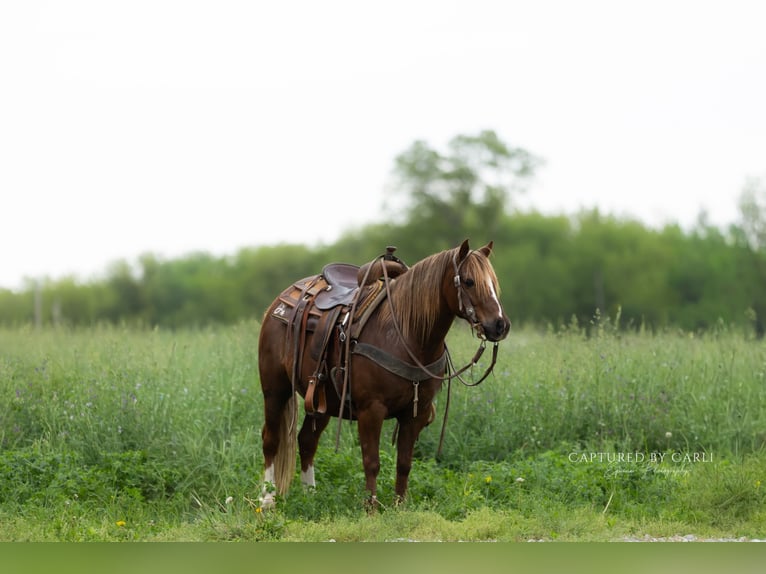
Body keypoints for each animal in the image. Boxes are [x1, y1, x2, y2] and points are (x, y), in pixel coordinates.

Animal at [257, 239, 510, 509]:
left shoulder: (416, 413)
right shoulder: (372, 410)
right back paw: (267, 498)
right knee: (271, 439)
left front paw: (400, 506)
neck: (407, 337)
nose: (500, 325)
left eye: (493, 282)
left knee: (307, 440)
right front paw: (371, 507)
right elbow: (372, 462)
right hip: (275, 390)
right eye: (469, 281)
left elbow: (404, 463)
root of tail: (279, 303)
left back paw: (310, 497)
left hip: (322, 400)